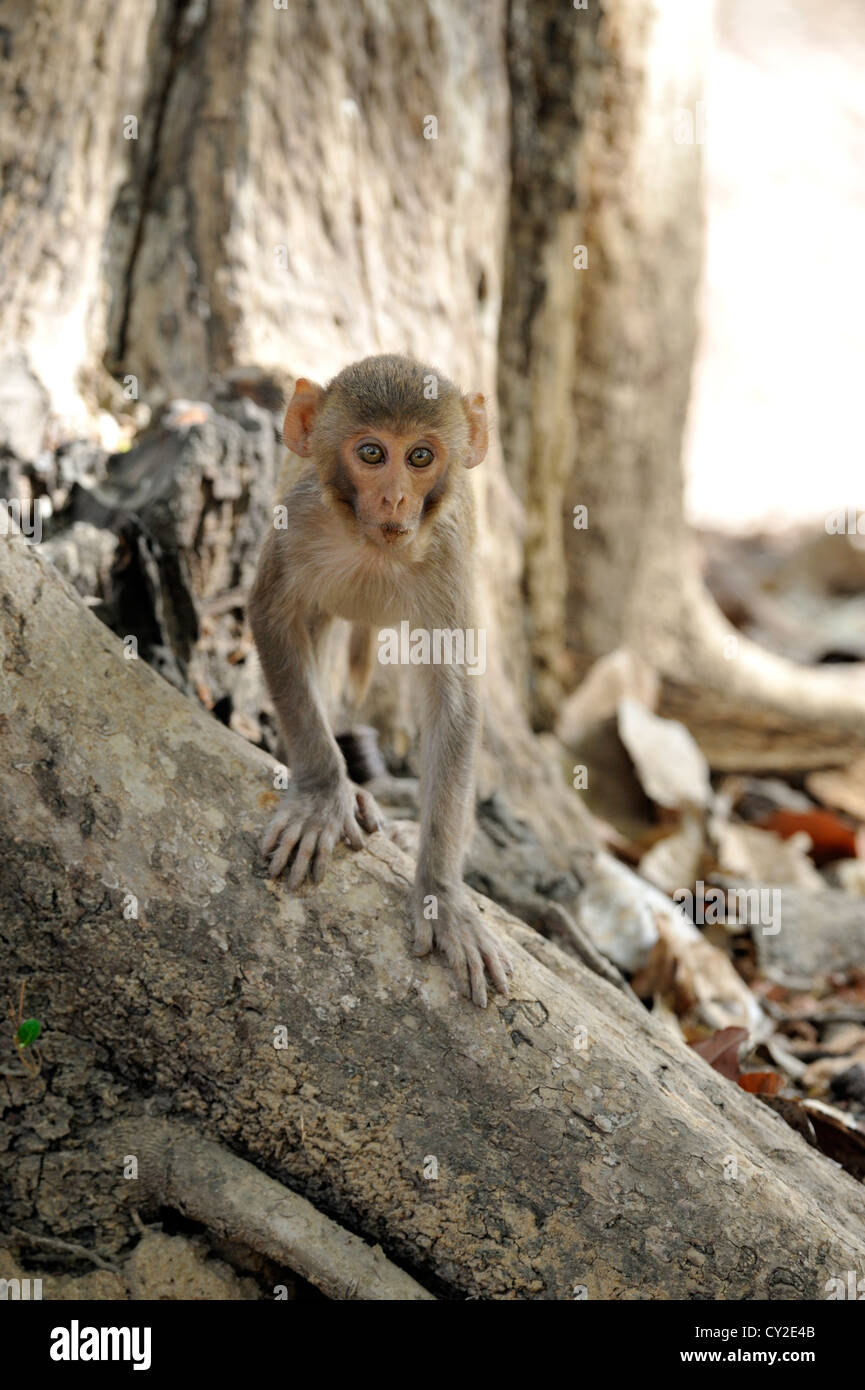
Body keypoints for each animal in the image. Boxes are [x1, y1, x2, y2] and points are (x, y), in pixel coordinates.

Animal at [247, 355, 511, 1011]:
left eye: (419, 457)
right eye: (371, 453)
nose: (394, 497)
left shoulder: (447, 554)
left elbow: (453, 699)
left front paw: (441, 891)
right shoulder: (298, 519)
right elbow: (275, 621)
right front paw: (323, 793)